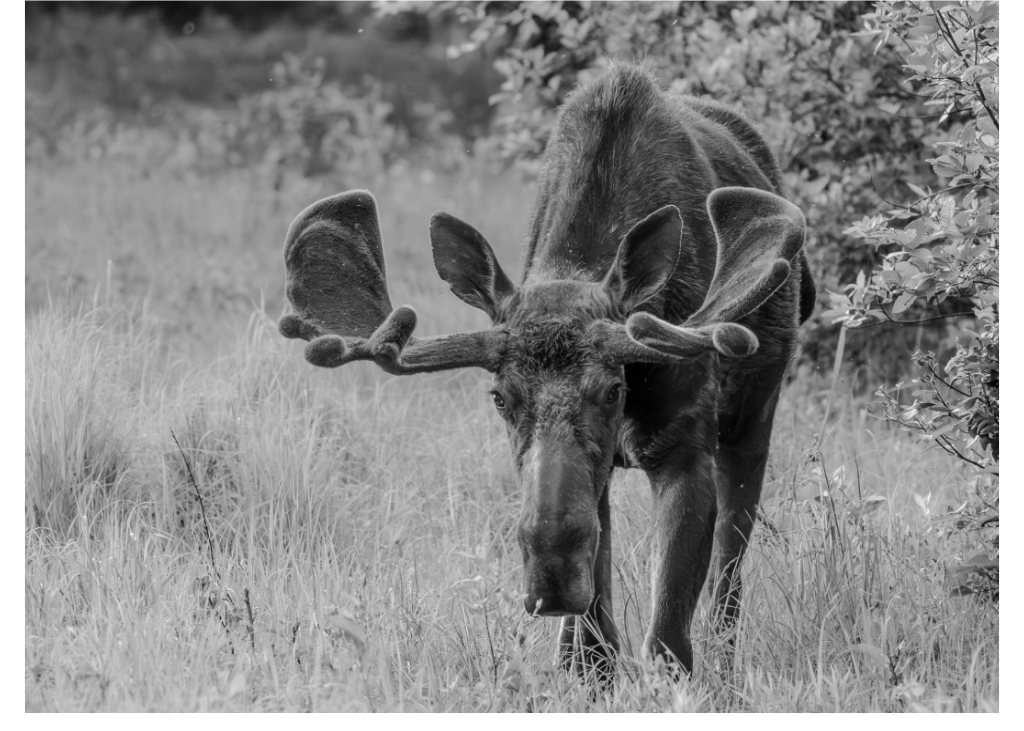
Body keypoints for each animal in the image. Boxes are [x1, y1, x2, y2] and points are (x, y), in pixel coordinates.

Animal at [278, 64, 815, 679]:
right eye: (499, 398)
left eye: (613, 390)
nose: (551, 579)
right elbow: (594, 645)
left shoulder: (685, 444)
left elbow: (667, 642)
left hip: (753, 420)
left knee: (731, 564)